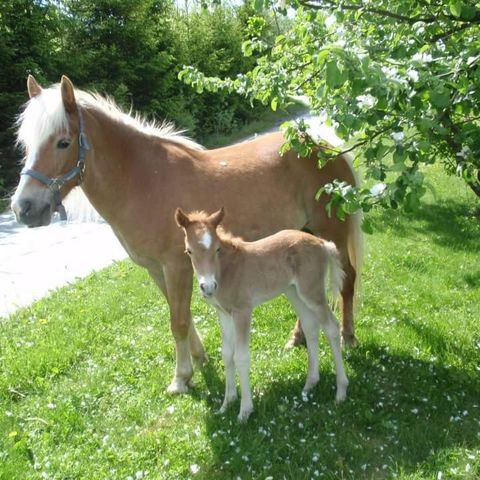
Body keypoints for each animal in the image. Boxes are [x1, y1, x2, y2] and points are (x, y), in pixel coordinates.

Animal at [9, 76, 362, 394]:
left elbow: (177, 321)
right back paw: (297, 338)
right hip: (301, 237)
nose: (23, 208)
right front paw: (199, 360)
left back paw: (348, 337)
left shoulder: (176, 266)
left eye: (63, 142)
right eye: (26, 144)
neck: (142, 180)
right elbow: (181, 316)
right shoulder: (159, 269)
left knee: (348, 280)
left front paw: (180, 378)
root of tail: (327, 147)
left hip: (332, 232)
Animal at [174, 208, 346, 422]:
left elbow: (240, 357)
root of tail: (323, 243)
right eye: (189, 251)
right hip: (294, 293)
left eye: (217, 249)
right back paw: (309, 384)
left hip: (312, 292)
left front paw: (244, 411)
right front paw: (226, 404)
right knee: (310, 326)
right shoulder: (224, 314)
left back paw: (341, 392)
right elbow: (227, 354)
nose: (208, 287)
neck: (227, 270)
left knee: (331, 328)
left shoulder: (242, 311)